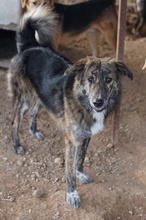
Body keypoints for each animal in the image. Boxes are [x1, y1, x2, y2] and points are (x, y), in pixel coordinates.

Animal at [7, 5, 133, 208]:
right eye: (90, 79)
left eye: (108, 80)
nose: (98, 102)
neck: (84, 103)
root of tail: (30, 45)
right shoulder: (71, 140)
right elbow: (69, 170)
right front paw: (72, 194)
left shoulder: (85, 137)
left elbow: (80, 160)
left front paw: (80, 173)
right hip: (23, 98)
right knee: (15, 121)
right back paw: (17, 145)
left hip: (43, 98)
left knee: (34, 112)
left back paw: (34, 131)